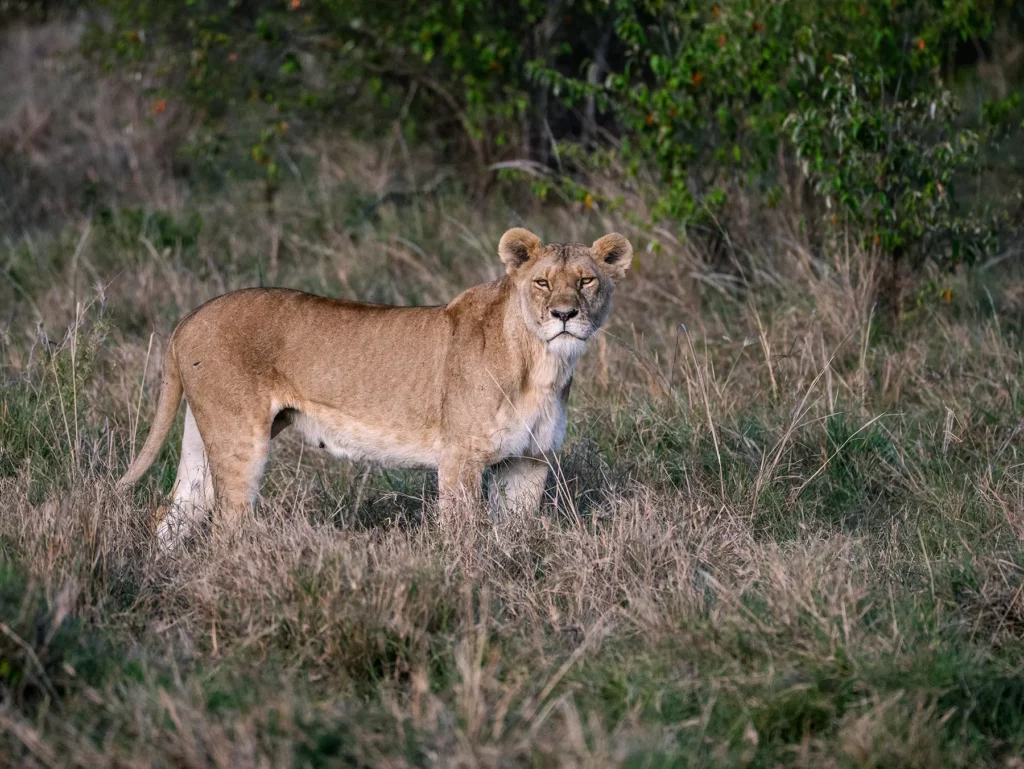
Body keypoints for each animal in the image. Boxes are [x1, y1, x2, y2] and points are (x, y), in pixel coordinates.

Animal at [116, 228, 633, 546]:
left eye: (586, 280)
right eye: (542, 282)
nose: (564, 314)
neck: (543, 366)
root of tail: (188, 318)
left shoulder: (528, 462)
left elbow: (515, 535)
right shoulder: (460, 458)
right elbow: (464, 533)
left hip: (204, 435)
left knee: (175, 514)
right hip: (240, 438)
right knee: (227, 526)